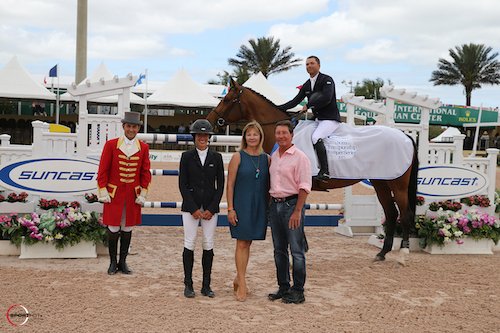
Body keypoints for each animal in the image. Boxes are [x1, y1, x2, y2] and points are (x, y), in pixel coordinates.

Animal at [206, 78, 418, 264]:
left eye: (227, 99)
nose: (209, 122)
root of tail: (405, 136)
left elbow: (298, 215)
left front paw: (300, 247)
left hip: (398, 184)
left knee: (404, 214)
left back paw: (403, 254)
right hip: (381, 182)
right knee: (391, 214)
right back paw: (382, 253)